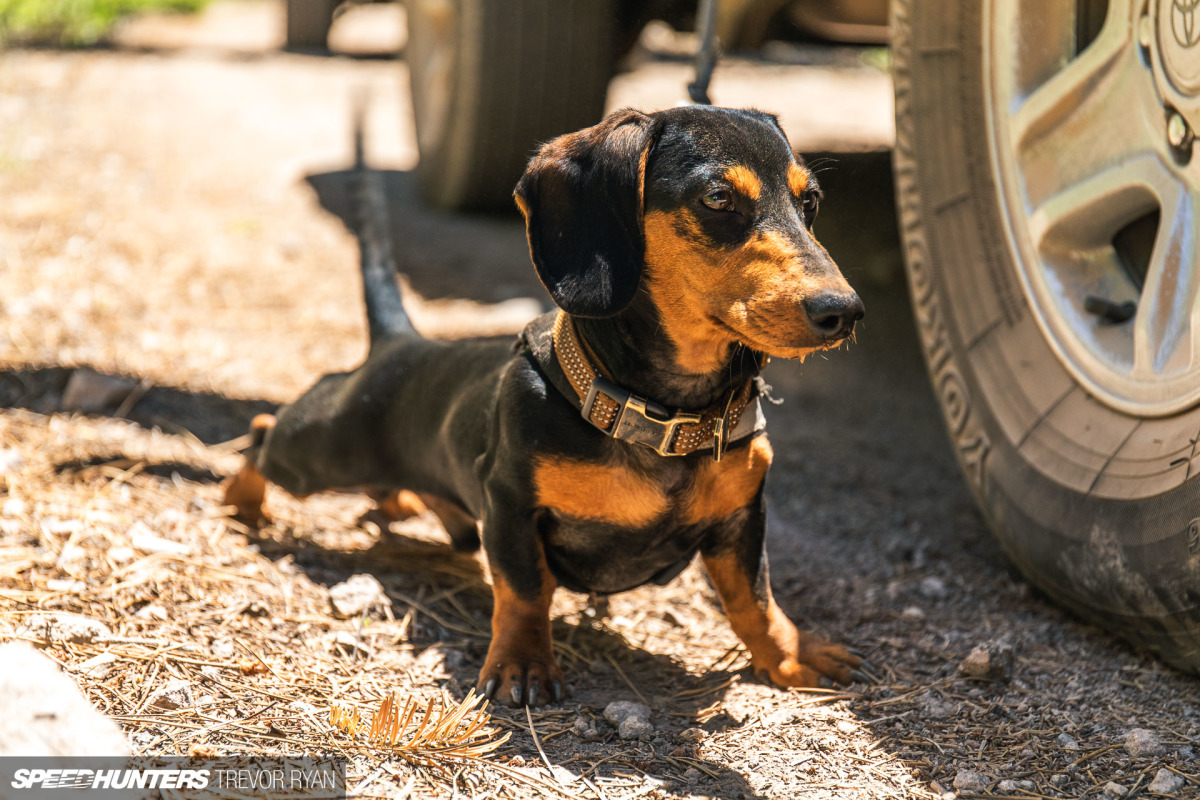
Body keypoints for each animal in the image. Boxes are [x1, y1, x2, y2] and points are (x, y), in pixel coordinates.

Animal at [225, 106, 868, 705]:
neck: (661, 417)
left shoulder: (742, 517)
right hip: (319, 449)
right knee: (262, 430)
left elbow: (754, 598)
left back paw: (398, 498)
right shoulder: (510, 504)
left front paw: (791, 655)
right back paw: (243, 501)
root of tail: (401, 342)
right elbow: (525, 590)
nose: (844, 311)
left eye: (810, 201)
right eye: (718, 198)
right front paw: (522, 663)